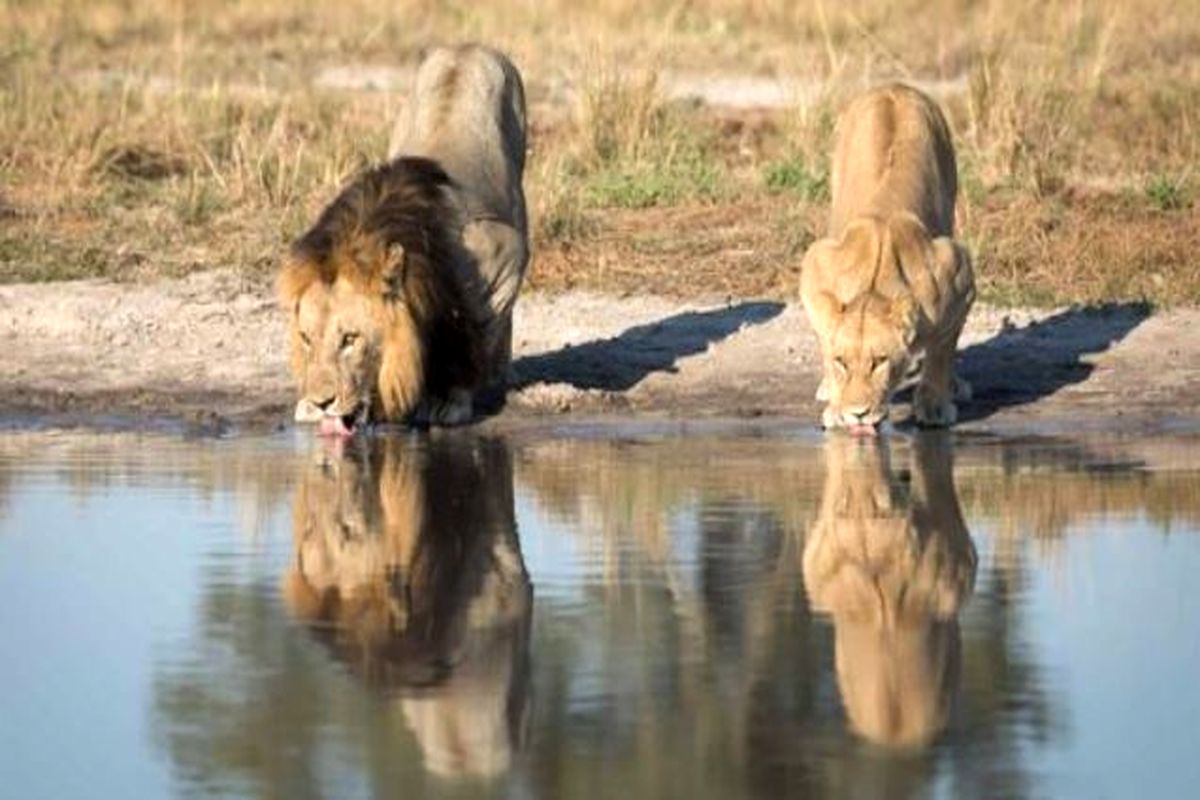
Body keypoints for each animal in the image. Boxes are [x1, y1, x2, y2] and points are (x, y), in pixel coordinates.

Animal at [280, 43, 530, 431]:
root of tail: (469, 46)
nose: (321, 402)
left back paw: (501, 374)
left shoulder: (503, 253)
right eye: (306, 339)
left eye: (350, 339)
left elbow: (472, 334)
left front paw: (449, 399)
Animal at [796, 85, 974, 431]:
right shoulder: (816, 265)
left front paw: (934, 403)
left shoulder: (959, 274)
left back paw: (955, 385)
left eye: (879, 362)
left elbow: (942, 349)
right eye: (843, 362)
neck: (874, 288)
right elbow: (825, 332)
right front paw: (835, 402)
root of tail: (895, 87)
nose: (858, 413)